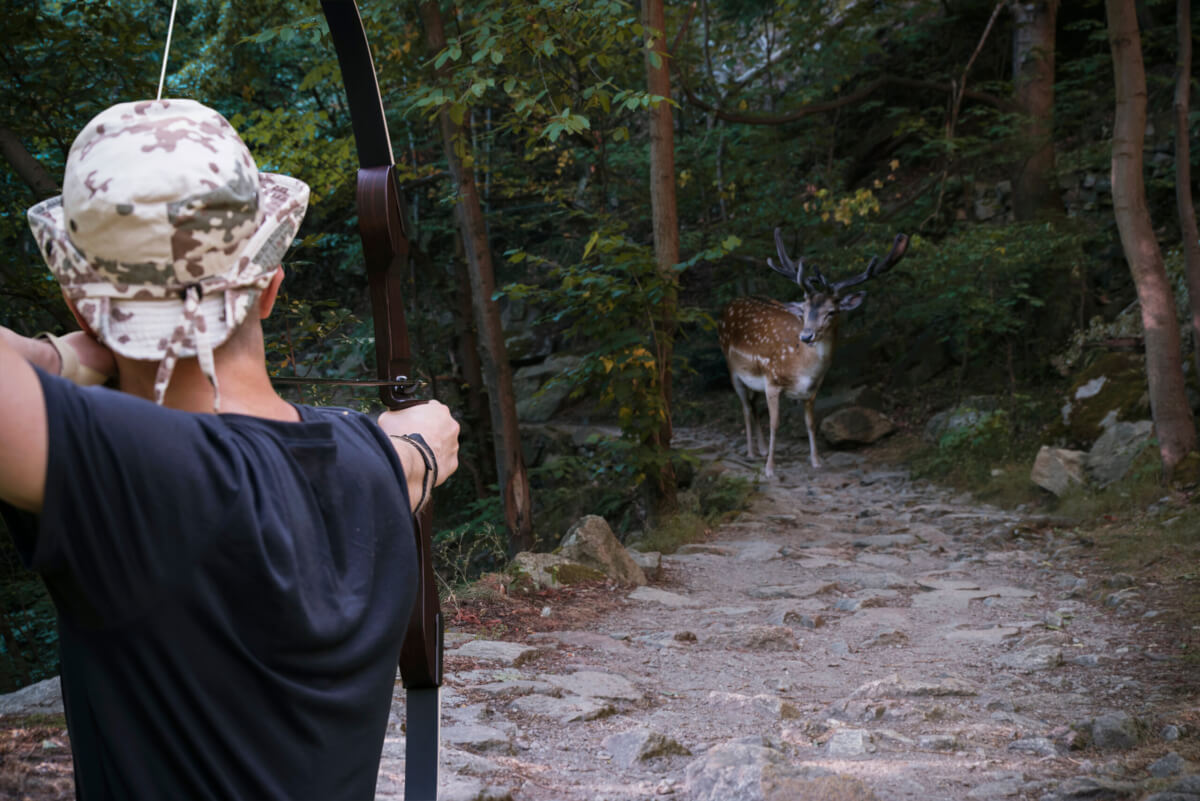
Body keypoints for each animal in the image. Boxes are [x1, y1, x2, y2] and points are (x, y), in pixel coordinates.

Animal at [715, 226, 902, 474]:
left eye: (832, 311)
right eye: (804, 309)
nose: (806, 336)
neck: (802, 369)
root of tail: (727, 306)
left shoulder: (812, 390)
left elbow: (811, 423)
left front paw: (816, 461)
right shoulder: (772, 379)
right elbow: (775, 423)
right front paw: (770, 469)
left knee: (753, 405)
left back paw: (761, 449)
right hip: (732, 368)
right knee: (745, 407)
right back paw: (752, 453)